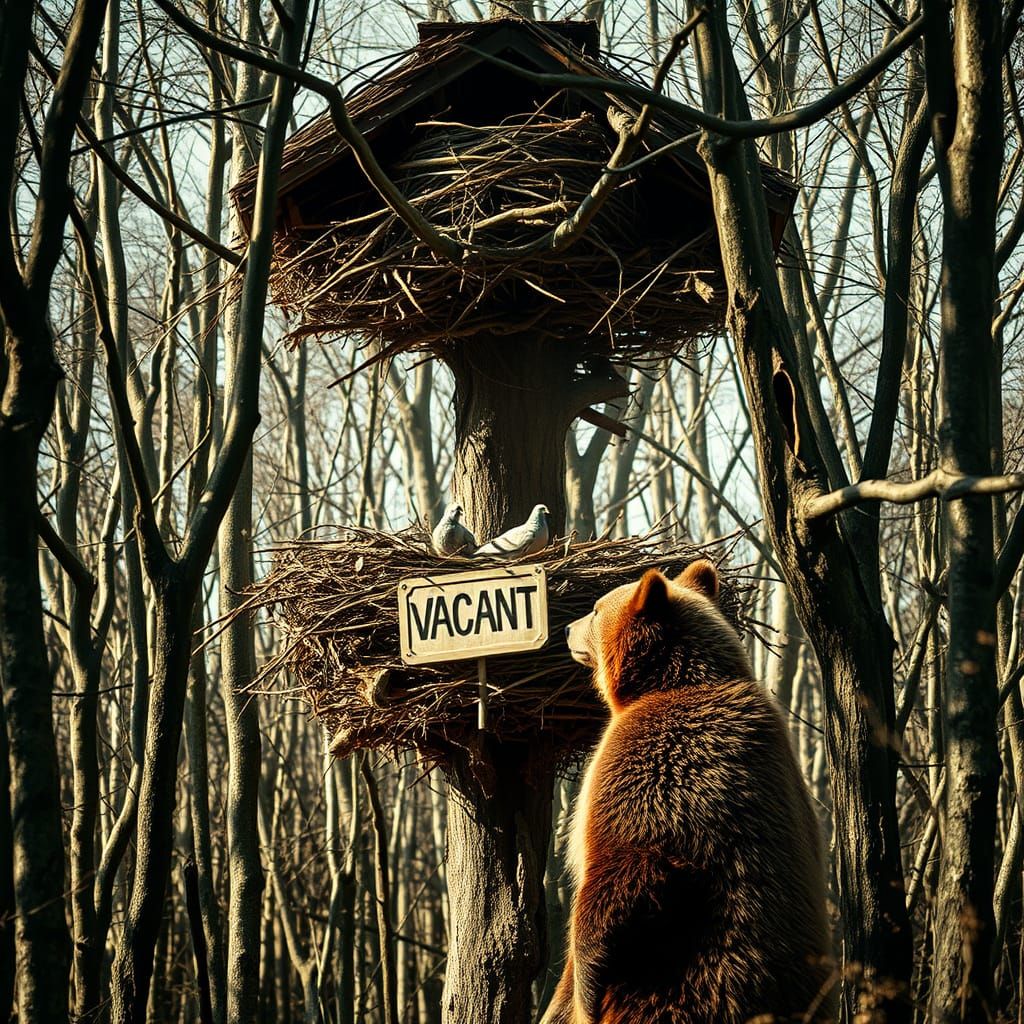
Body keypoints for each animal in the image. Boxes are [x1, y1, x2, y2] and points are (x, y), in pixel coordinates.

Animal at [541, 560, 836, 1024]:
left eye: (596, 608)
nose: (567, 628)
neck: (670, 682)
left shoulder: (653, 764)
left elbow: (625, 868)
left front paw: (585, 994)